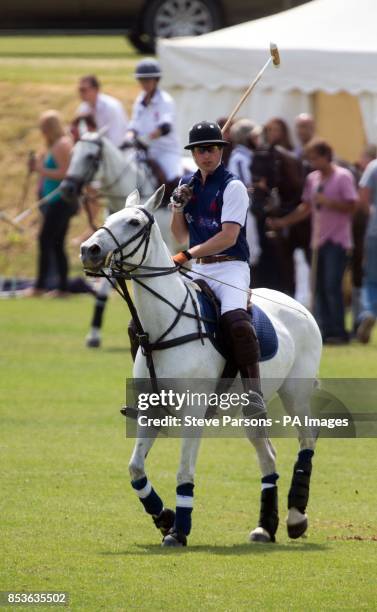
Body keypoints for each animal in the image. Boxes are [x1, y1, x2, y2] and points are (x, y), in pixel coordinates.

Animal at [59, 131, 185, 346]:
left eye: (90, 156)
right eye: (73, 153)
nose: (67, 189)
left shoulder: (165, 246)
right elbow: (102, 291)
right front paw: (94, 335)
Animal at [81, 185, 322, 544]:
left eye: (134, 222)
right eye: (109, 218)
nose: (89, 250)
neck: (163, 328)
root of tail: (299, 304)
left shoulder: (192, 413)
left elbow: (184, 471)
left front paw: (178, 531)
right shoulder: (149, 411)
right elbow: (136, 469)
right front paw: (165, 517)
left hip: (296, 392)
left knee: (307, 440)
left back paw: (295, 517)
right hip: (251, 408)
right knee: (268, 455)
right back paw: (265, 527)